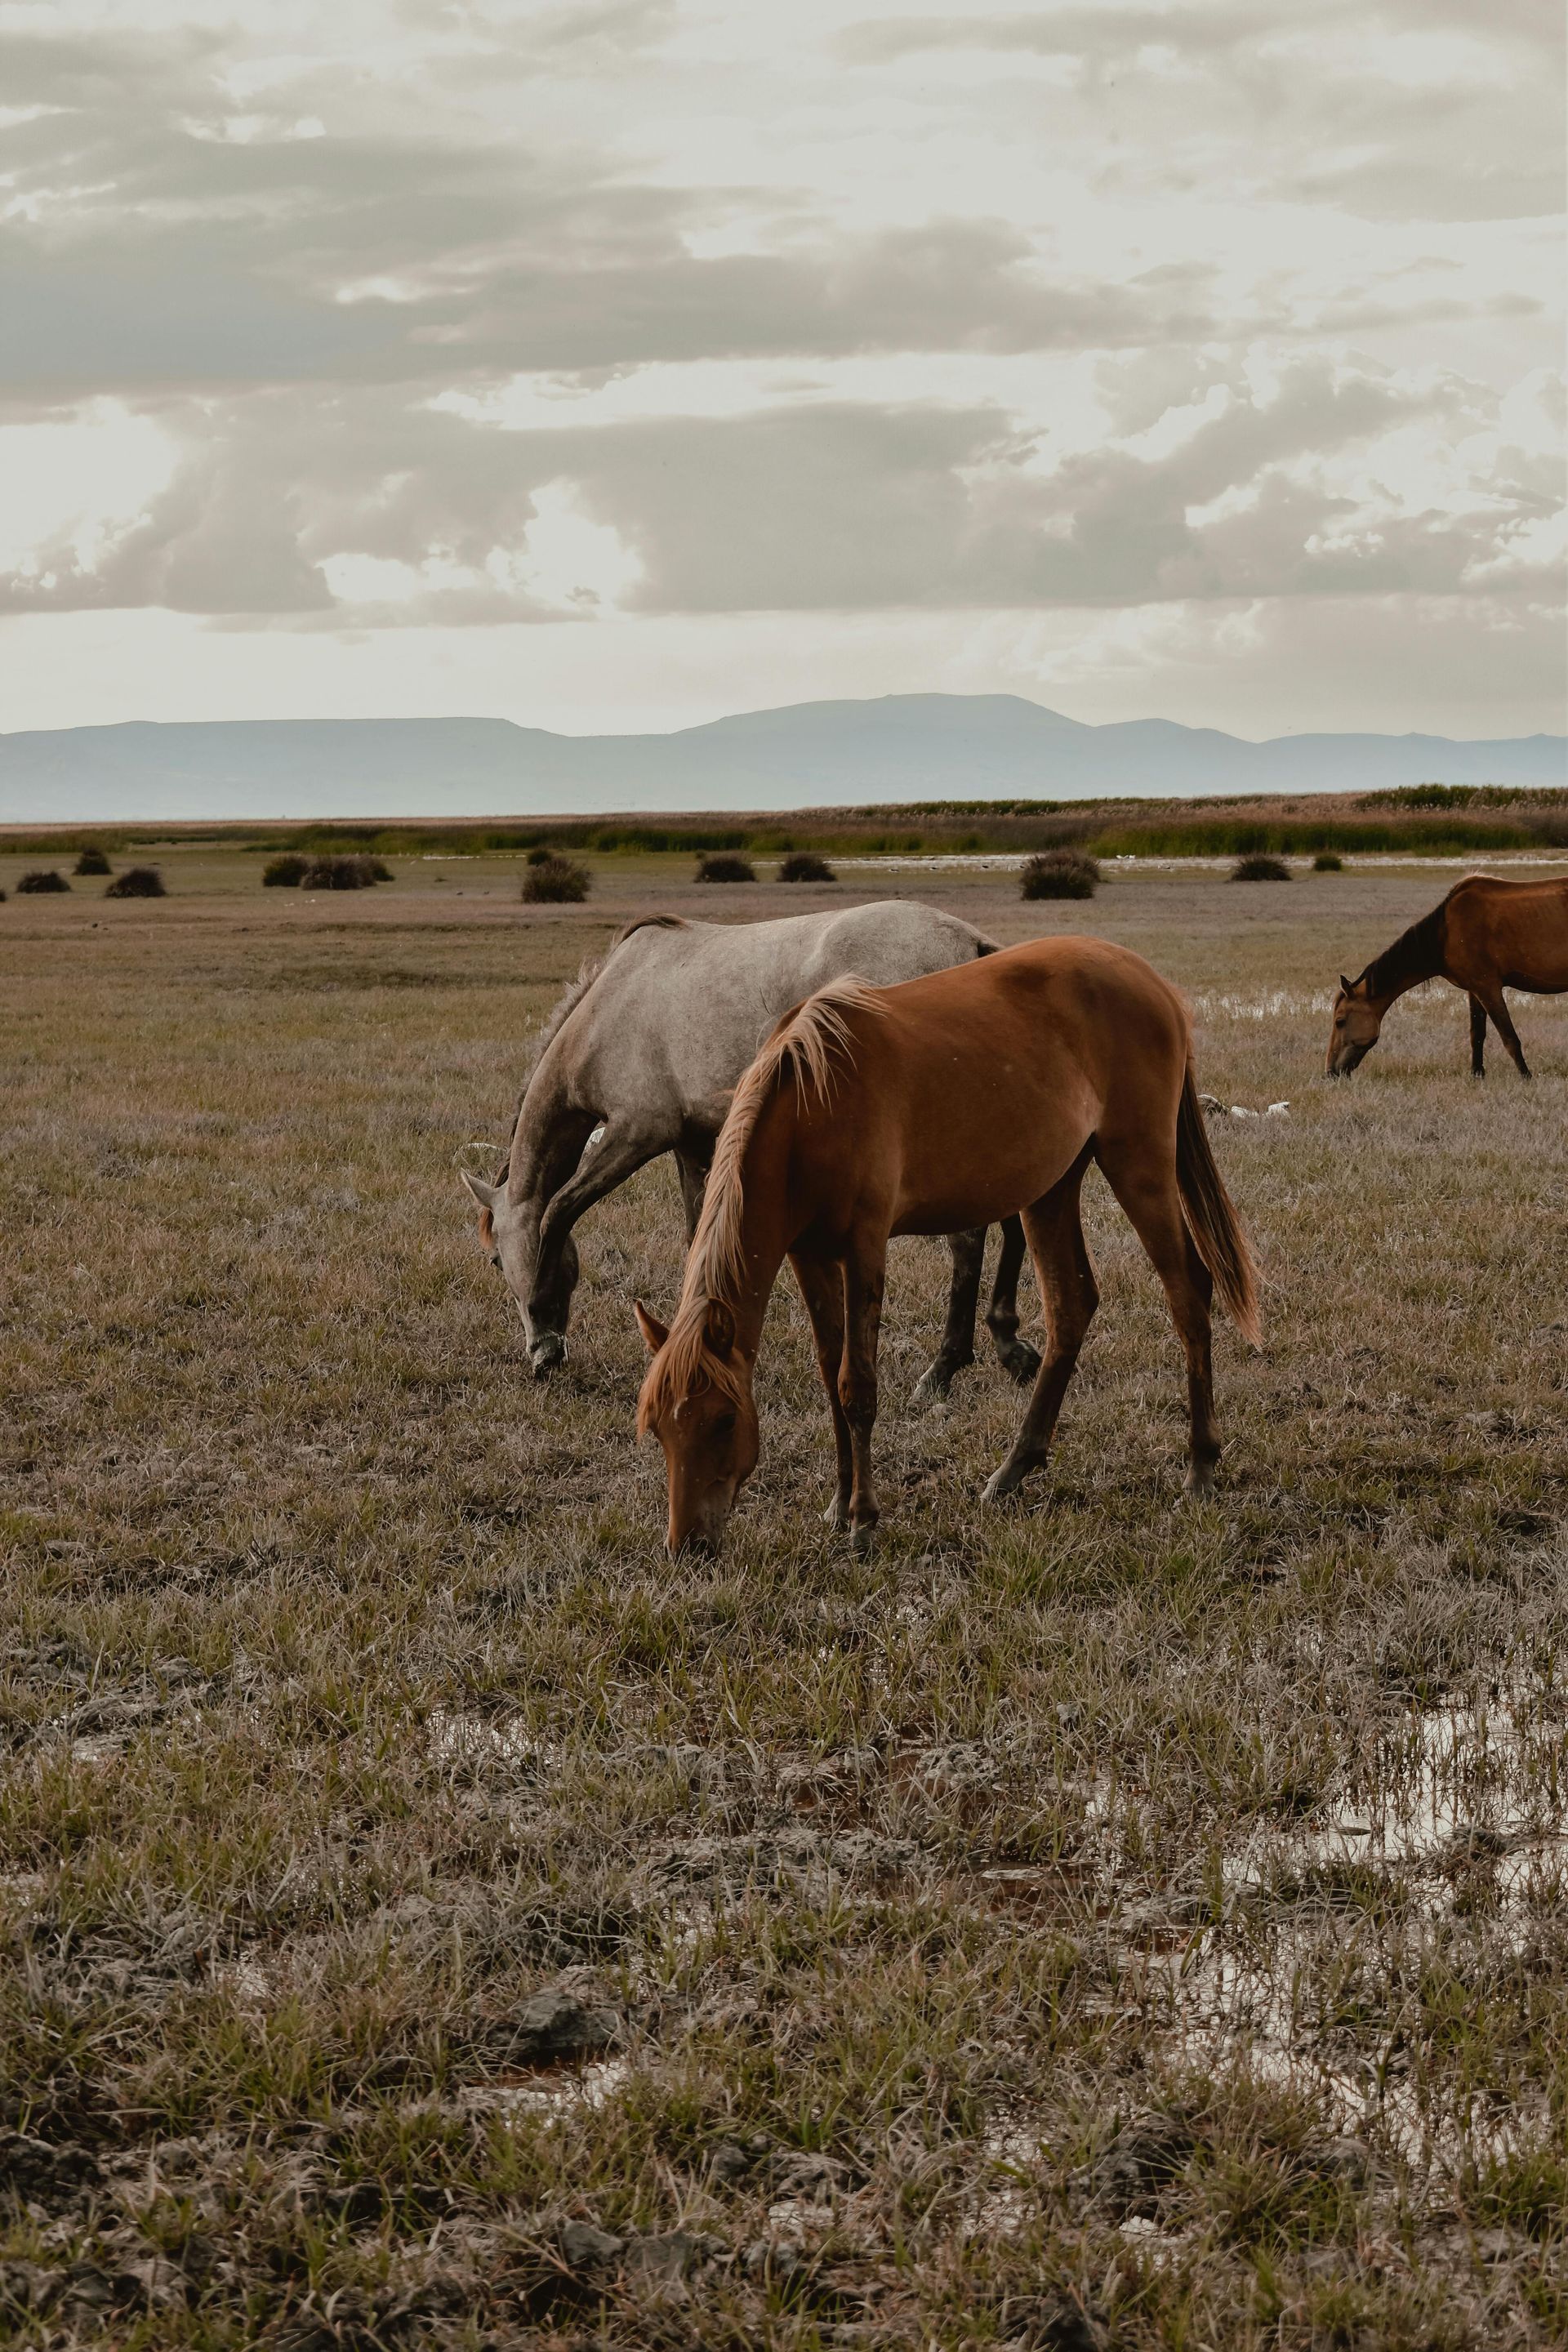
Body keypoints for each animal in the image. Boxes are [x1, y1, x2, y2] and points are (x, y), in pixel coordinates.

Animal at [463, 901, 1042, 1398]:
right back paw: (1009, 1347)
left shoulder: (636, 1135)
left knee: (968, 1239)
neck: (612, 1007)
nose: (536, 1351)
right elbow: (696, 1239)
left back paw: (943, 1369)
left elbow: (557, 1212)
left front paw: (548, 1335)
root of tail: (970, 944)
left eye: (494, 1260)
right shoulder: (693, 1144)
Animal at [634, 937, 1260, 1554]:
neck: (813, 1106)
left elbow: (857, 1385)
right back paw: (1013, 1469)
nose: (687, 1544)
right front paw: (838, 1505)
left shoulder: (865, 1248)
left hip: (1139, 1165)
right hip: (1052, 1188)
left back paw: (1200, 1468)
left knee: (1188, 1294)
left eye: (723, 1420)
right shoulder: (809, 1256)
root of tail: (1149, 979)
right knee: (1071, 1307)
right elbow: (830, 1375)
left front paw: (864, 1519)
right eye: (658, 1427)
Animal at [1327, 873, 1568, 1080]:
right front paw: (1477, 1074)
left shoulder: (1488, 988)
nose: (1330, 1071)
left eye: (1340, 1021)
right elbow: (1476, 1034)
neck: (1445, 933)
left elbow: (1509, 1037)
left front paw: (1526, 1077)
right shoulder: (1475, 990)